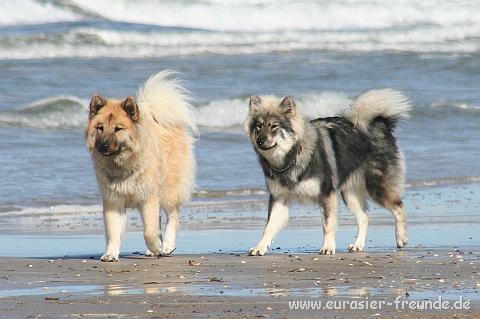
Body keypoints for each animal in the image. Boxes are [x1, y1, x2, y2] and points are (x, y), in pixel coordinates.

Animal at [246, 90, 410, 258]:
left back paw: (401, 237)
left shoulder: (326, 193)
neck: (293, 154)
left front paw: (328, 247)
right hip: (350, 194)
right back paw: (358, 245)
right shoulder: (279, 198)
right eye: (258, 126)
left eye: (274, 126)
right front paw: (260, 247)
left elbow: (327, 224)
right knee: (364, 217)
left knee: (399, 207)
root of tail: (379, 124)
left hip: (377, 188)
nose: (260, 141)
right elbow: (269, 227)